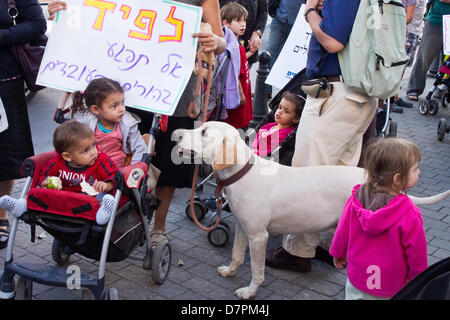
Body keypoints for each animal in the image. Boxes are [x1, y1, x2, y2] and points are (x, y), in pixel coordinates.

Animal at [173, 121, 450, 298]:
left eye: (204, 132)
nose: (176, 134)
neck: (242, 173)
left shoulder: (260, 237)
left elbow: (257, 270)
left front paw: (250, 292)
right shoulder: (244, 229)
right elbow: (237, 255)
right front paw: (230, 271)